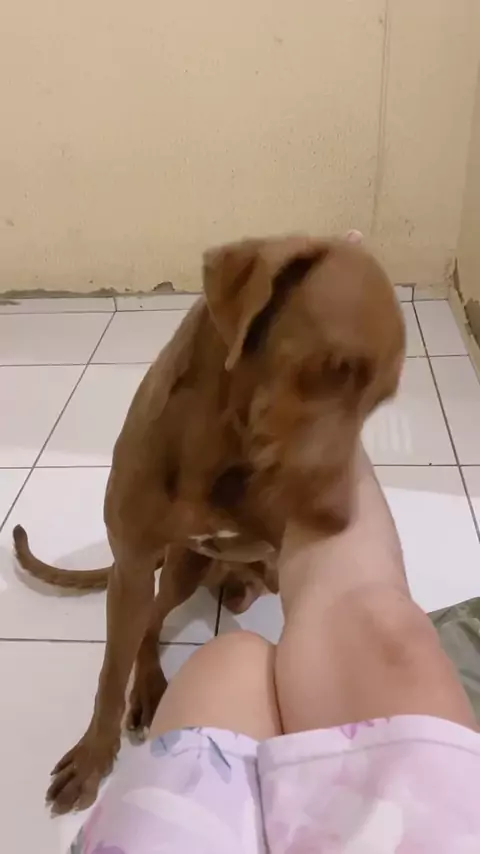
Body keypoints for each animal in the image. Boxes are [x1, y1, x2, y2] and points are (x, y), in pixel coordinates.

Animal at [13, 232, 405, 813]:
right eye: (335, 368)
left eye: (380, 402)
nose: (340, 521)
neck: (216, 449)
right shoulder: (132, 565)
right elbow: (110, 671)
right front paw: (93, 757)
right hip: (179, 568)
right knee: (149, 623)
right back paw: (149, 683)